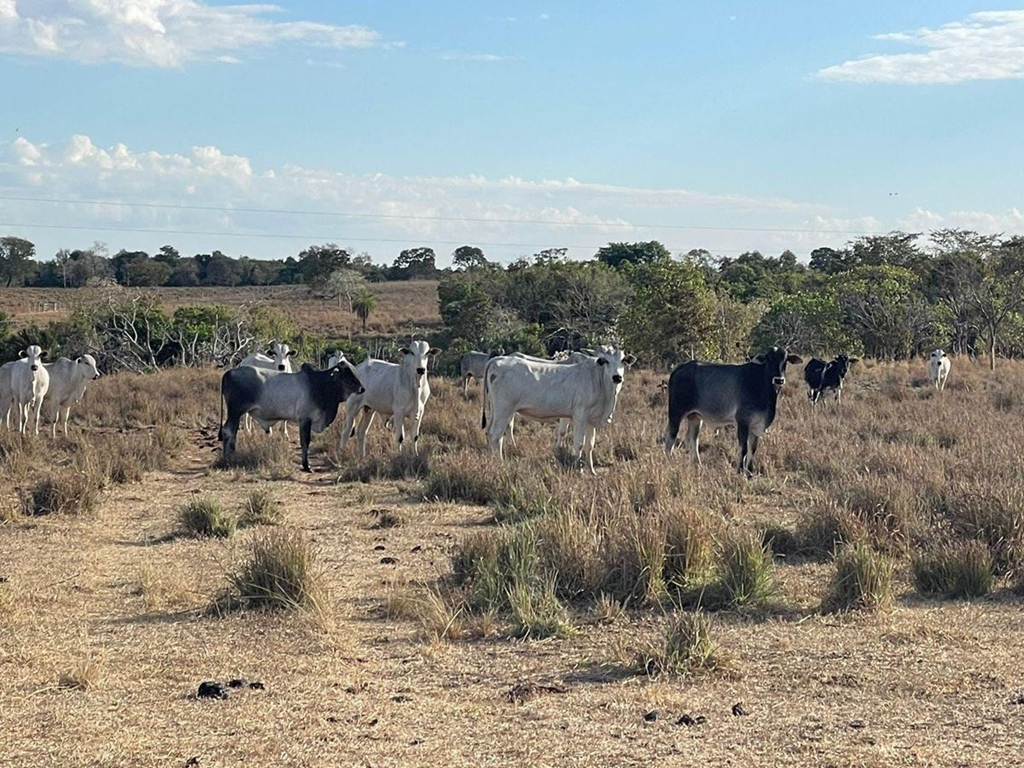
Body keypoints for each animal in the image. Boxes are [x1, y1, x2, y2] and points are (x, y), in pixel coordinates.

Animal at [219, 362, 364, 475]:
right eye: (347, 374)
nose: (362, 389)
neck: (319, 385)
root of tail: (229, 373)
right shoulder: (305, 420)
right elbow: (305, 442)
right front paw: (306, 466)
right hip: (235, 412)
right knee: (229, 431)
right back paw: (229, 458)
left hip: (235, 413)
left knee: (231, 431)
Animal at [479, 346, 630, 473]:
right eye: (604, 361)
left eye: (623, 361)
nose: (617, 377)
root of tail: (498, 359)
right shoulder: (580, 416)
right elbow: (579, 444)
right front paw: (579, 470)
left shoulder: (591, 420)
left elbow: (590, 445)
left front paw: (592, 471)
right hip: (504, 410)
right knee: (496, 435)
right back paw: (499, 464)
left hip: (496, 411)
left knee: (489, 432)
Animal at [663, 348, 806, 475]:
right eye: (769, 358)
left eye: (785, 359)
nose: (779, 379)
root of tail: (679, 369)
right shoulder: (743, 421)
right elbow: (743, 448)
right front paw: (740, 471)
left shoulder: (756, 425)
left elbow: (752, 448)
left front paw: (750, 472)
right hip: (675, 413)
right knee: (670, 439)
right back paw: (669, 463)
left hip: (695, 418)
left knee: (692, 439)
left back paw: (698, 465)